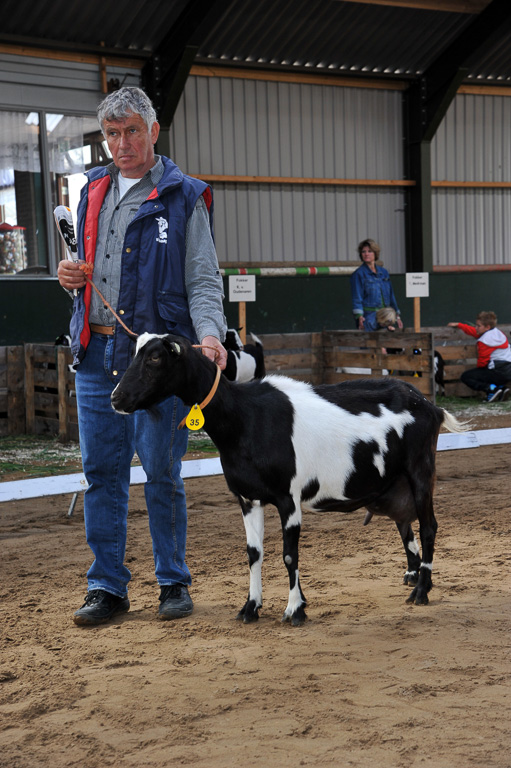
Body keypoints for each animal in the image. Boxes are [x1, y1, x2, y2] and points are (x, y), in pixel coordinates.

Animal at [111, 332, 468, 628]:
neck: (244, 418)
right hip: (394, 484)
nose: (116, 398)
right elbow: (253, 553)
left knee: (429, 526)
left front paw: (295, 609)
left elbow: (288, 555)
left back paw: (421, 591)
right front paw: (250, 607)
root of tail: (430, 406)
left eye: (155, 358)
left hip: (421, 469)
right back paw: (414, 577)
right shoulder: (247, 498)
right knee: (405, 524)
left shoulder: (288, 497)